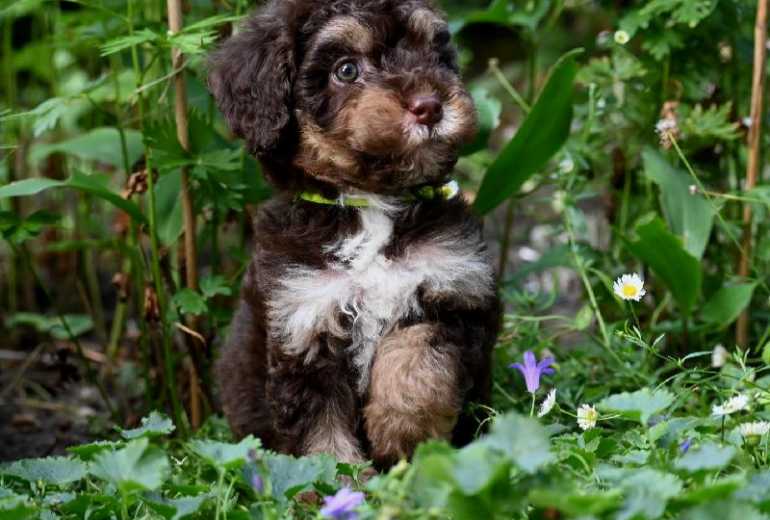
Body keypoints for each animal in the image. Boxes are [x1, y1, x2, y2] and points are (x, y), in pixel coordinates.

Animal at [208, 0, 498, 468]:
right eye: (346, 70)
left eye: (432, 53)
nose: (430, 105)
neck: (370, 204)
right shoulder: (302, 324)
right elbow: (321, 435)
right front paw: (342, 481)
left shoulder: (458, 292)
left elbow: (418, 355)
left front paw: (400, 430)